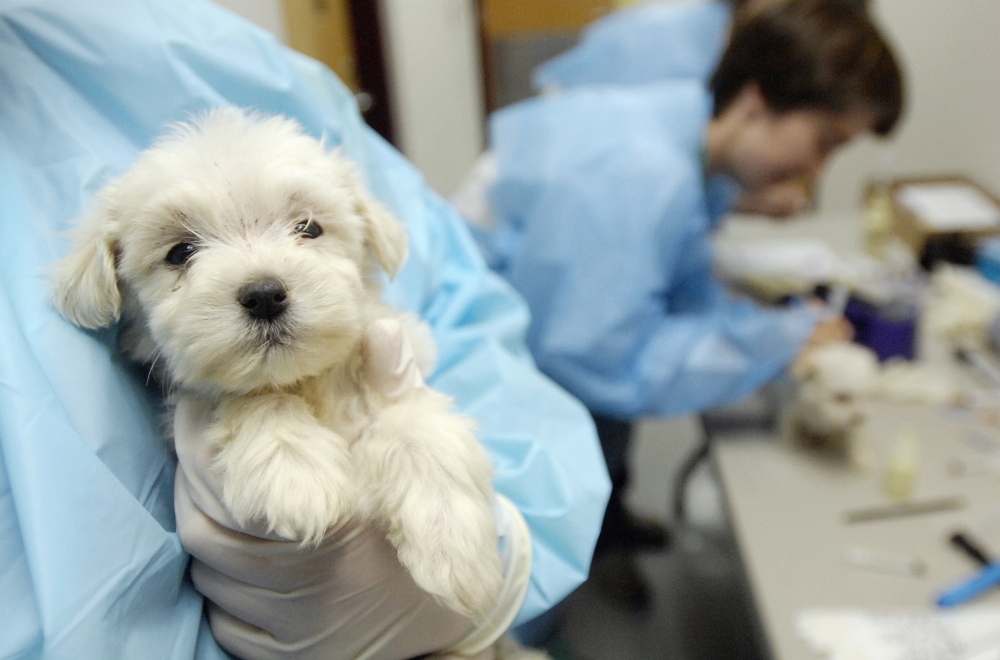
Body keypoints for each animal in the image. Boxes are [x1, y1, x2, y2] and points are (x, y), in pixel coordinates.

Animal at [47, 107, 500, 620]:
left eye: (308, 228)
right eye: (180, 252)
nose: (264, 294)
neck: (306, 381)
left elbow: (414, 422)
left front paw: (455, 551)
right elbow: (250, 400)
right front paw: (295, 470)